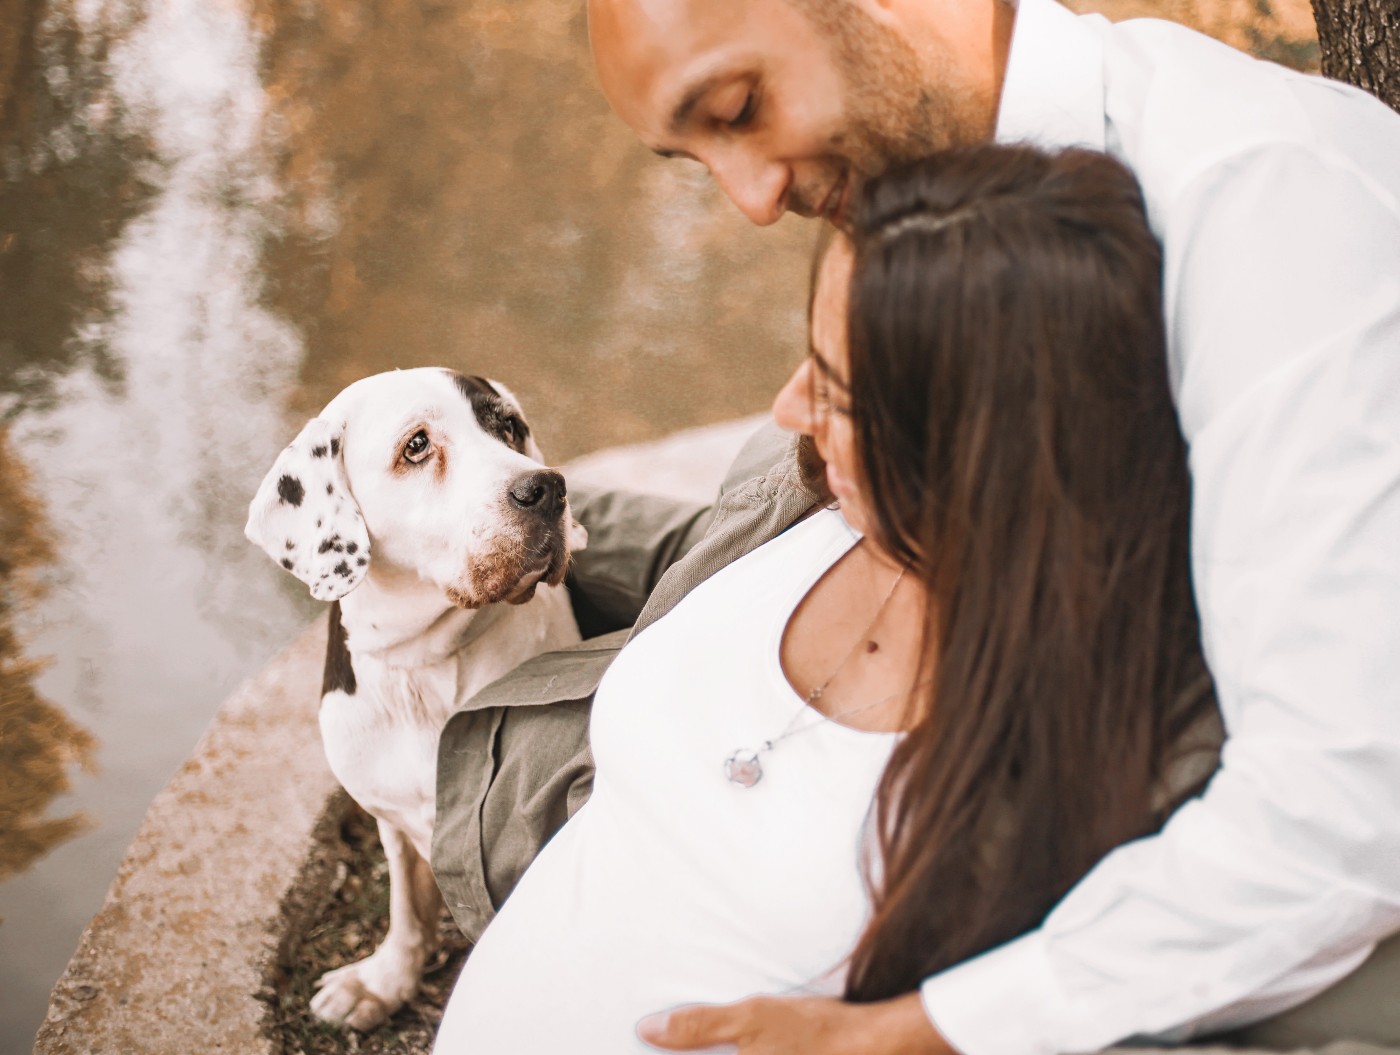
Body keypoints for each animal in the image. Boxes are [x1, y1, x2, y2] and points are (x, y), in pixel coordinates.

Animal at [246, 366, 585, 1029]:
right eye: (417, 446)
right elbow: (407, 907)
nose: (546, 488)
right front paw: (384, 983)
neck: (424, 664)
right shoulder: (392, 818)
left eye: (509, 426)